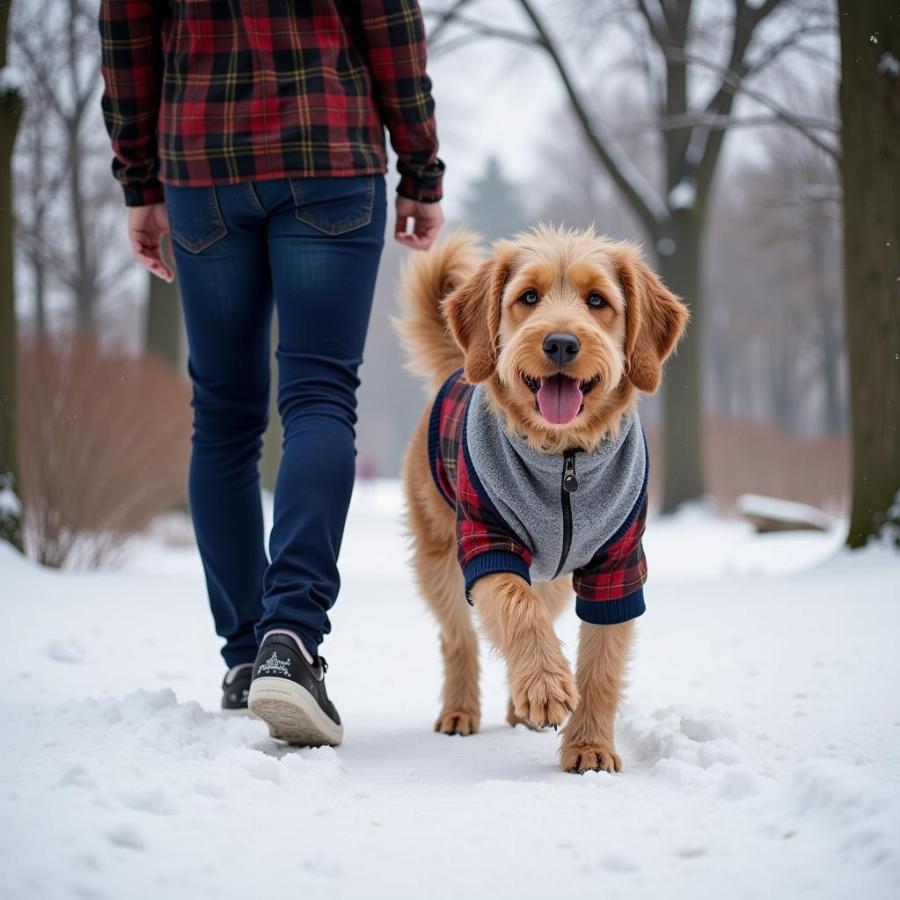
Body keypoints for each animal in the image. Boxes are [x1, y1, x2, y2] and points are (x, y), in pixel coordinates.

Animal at [396, 227, 688, 772]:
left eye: (597, 301)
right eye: (529, 297)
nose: (560, 342)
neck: (563, 460)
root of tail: (461, 364)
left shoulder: (618, 564)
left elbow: (601, 663)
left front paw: (590, 745)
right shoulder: (487, 542)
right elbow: (515, 606)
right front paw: (546, 685)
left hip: (553, 579)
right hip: (438, 557)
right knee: (459, 637)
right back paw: (461, 708)